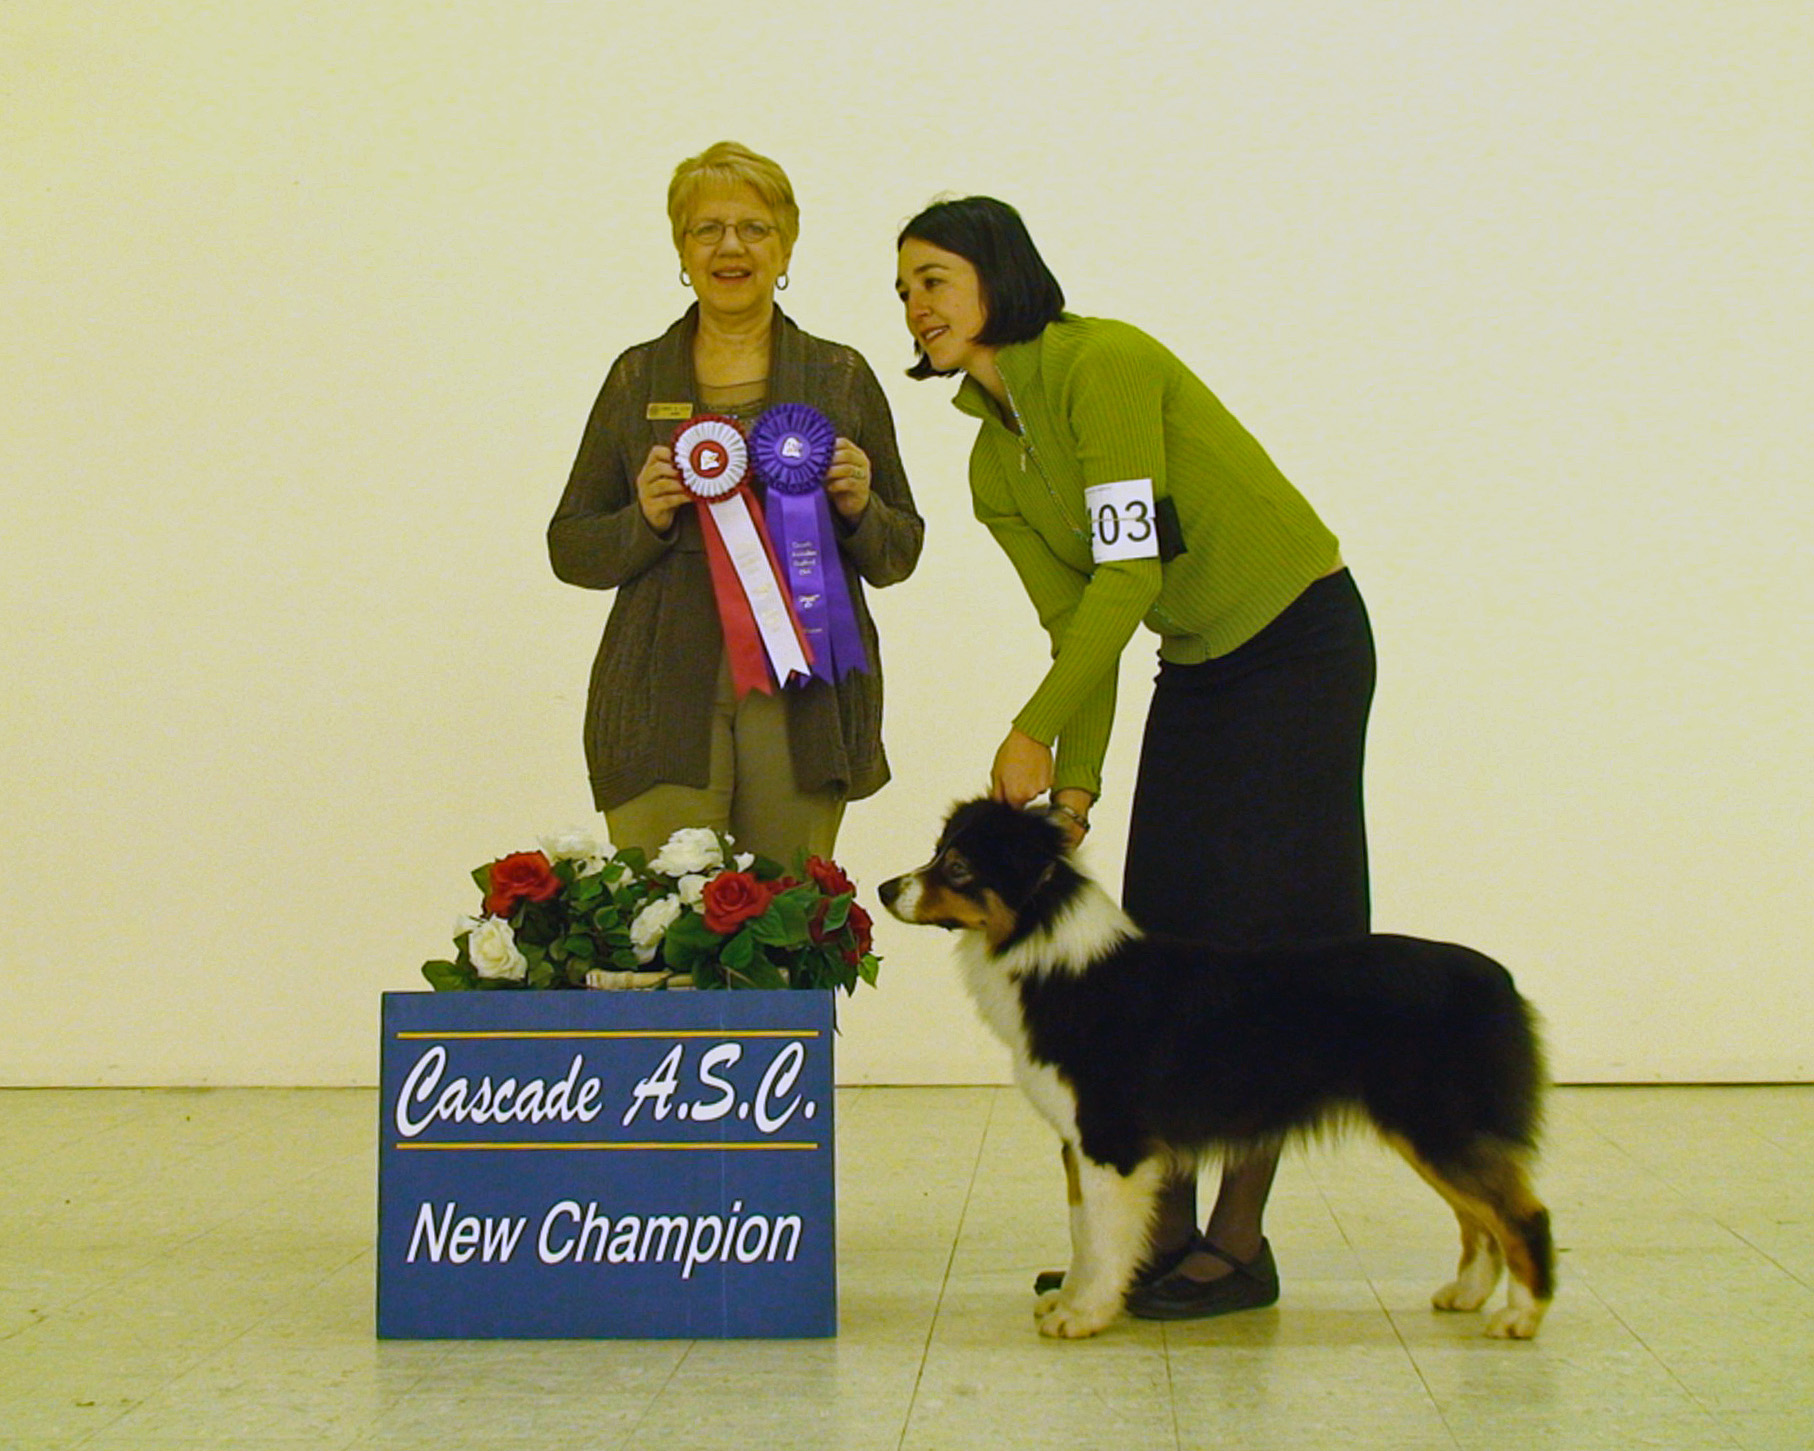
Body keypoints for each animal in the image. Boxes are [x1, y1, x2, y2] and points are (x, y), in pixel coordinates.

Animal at [879, 798, 1554, 1341]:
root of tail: (1502, 980)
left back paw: (1520, 1317)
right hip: (1430, 1132)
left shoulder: (1110, 1142)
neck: (1046, 949)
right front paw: (1071, 1300)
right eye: (939, 851)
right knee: (1479, 1218)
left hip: (1440, 1125)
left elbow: (1101, 1234)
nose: (885, 889)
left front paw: (1085, 1315)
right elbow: (1082, 1231)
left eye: (958, 867)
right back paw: (1466, 1294)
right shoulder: (1079, 1142)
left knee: (1522, 1215)